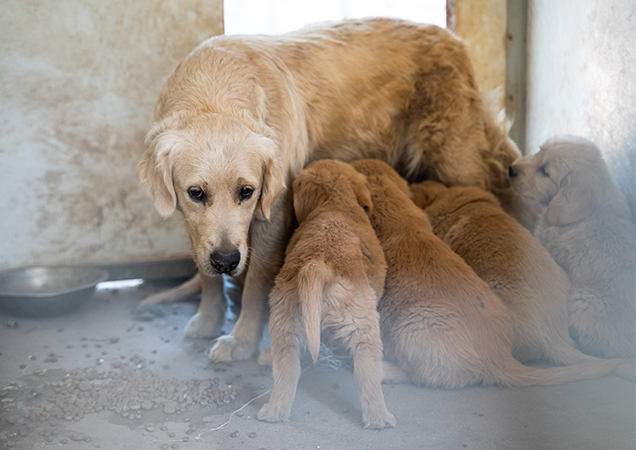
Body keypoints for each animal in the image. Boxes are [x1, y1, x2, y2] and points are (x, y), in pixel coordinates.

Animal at [138, 17, 529, 363]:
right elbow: (206, 277)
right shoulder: (194, 224)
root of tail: (453, 39)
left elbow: (255, 286)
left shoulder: (271, 216)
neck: (212, 91)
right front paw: (209, 318)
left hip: (457, 159)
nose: (226, 260)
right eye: (196, 193)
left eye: (247, 192)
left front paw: (242, 341)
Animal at [256, 159, 394, 429]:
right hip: (364, 326)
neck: (336, 201)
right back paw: (380, 418)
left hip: (285, 323)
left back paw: (273, 412)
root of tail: (318, 265)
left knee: (287, 370)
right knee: (367, 373)